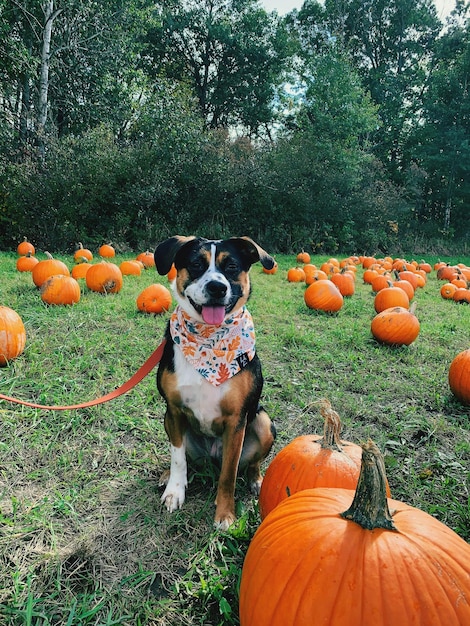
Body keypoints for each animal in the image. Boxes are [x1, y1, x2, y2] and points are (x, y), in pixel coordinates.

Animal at [154, 234, 278, 528]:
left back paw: (257, 480)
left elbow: (228, 475)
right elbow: (177, 458)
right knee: (186, 458)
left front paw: (225, 514)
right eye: (196, 264)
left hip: (263, 421)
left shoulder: (236, 422)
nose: (217, 287)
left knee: (251, 463)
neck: (209, 339)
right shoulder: (173, 410)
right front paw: (175, 491)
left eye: (231, 266)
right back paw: (166, 476)